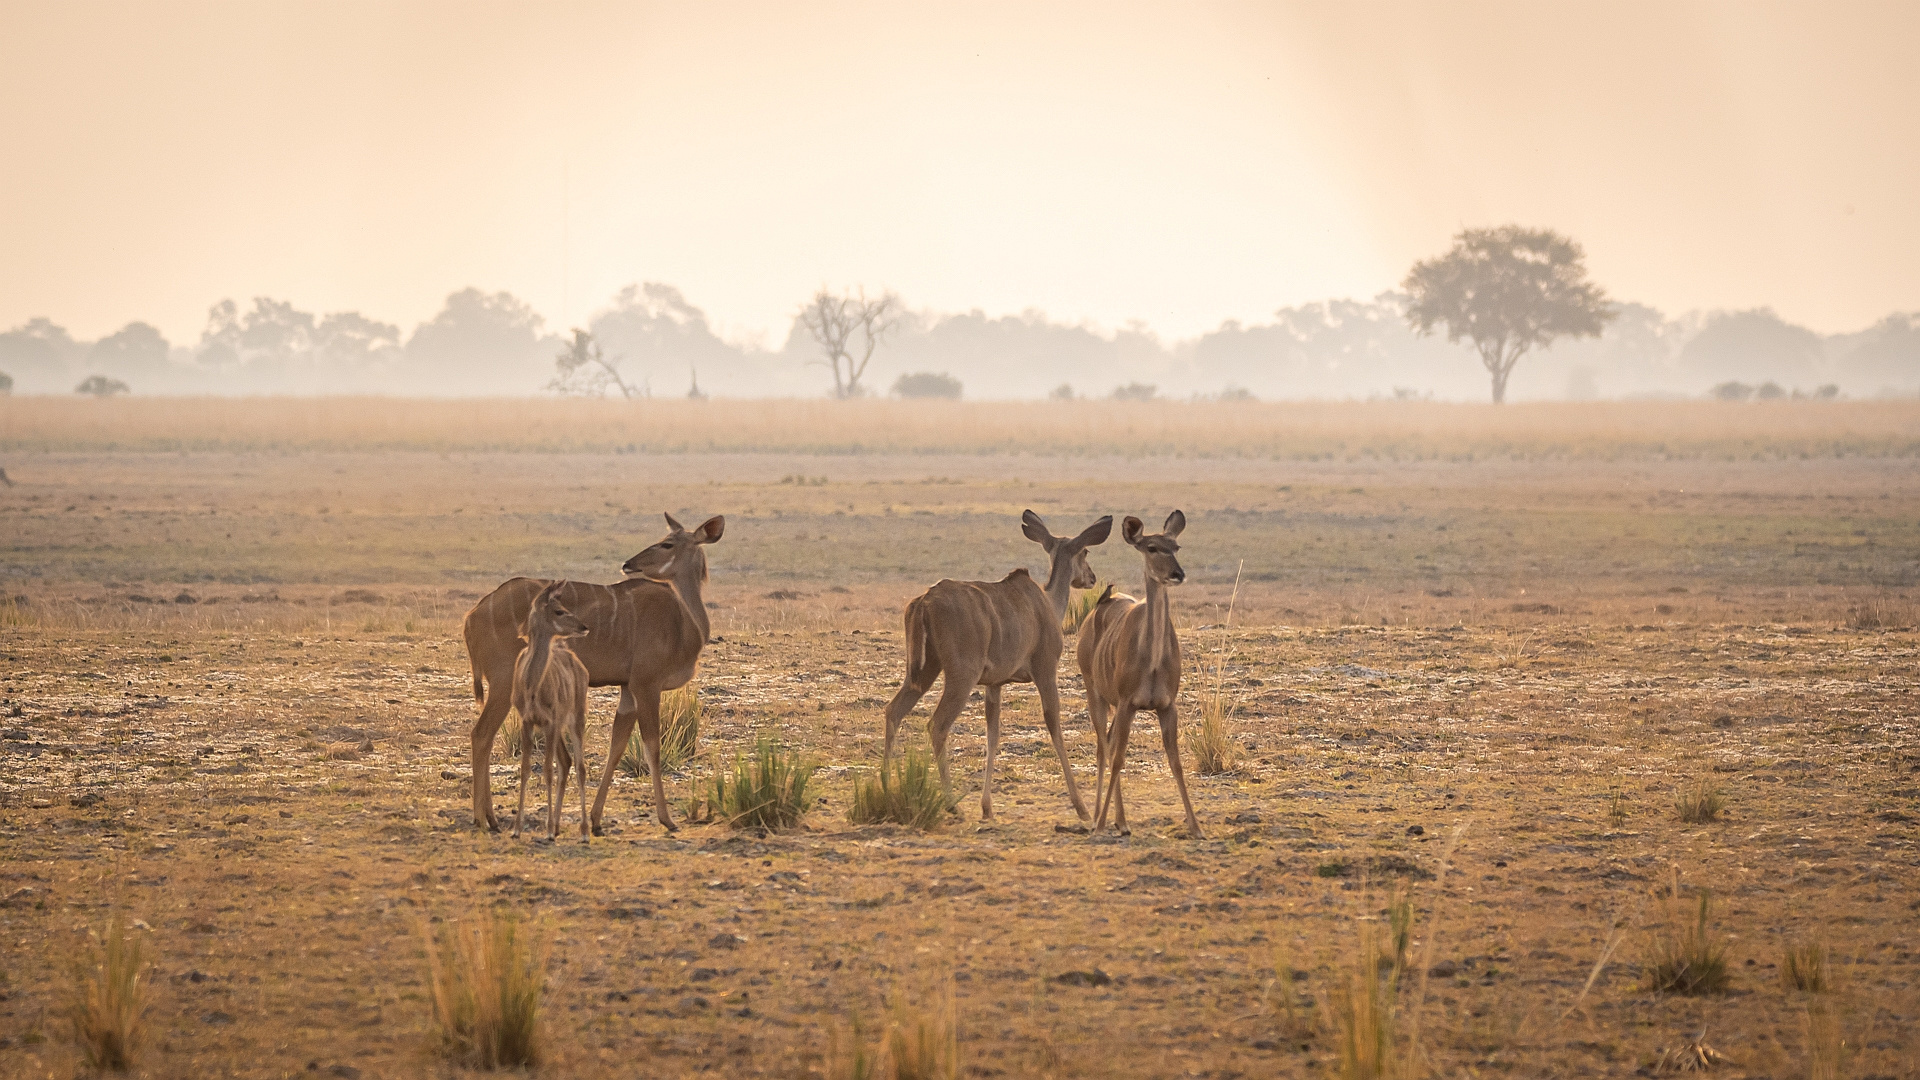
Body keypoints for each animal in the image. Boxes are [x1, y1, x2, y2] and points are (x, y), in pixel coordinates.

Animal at [510, 584, 591, 837]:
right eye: (558, 610)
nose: (584, 627)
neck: (532, 687)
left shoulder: (551, 720)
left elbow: (546, 770)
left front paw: (545, 830)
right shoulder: (528, 721)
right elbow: (525, 769)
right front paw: (516, 829)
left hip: (576, 716)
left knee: (580, 766)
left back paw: (584, 830)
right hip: (559, 726)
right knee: (565, 762)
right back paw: (556, 826)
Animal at [879, 507, 1113, 818]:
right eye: (1085, 551)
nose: (1092, 577)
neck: (1049, 604)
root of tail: (924, 602)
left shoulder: (995, 684)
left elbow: (992, 736)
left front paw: (987, 807)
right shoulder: (1045, 669)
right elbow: (1054, 725)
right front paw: (1082, 808)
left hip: (923, 670)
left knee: (893, 711)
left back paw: (883, 786)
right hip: (961, 675)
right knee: (936, 725)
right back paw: (952, 803)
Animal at [1082, 507, 1198, 837]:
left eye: (1176, 546)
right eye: (1152, 547)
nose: (1177, 574)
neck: (1153, 662)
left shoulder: (1166, 705)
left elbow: (1176, 762)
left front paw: (1196, 826)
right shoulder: (1126, 702)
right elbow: (1119, 758)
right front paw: (1101, 823)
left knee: (1107, 742)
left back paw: (1119, 821)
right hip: (1094, 692)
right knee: (1103, 747)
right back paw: (1101, 819)